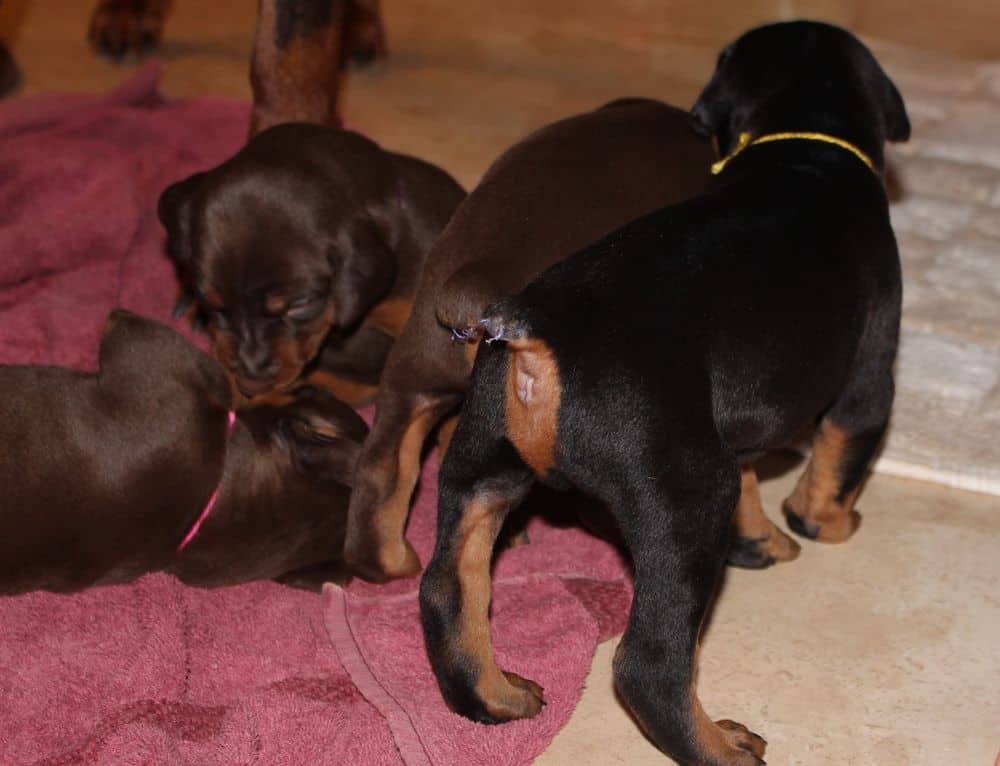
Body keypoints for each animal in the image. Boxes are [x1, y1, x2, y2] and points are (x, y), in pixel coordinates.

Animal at [418, 22, 912, 766]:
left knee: (449, 588)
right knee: (648, 664)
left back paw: (496, 697)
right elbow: (841, 456)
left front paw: (761, 541)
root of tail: (536, 333)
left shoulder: (732, 422)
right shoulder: (870, 372)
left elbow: (752, 480)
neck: (802, 145)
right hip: (686, 498)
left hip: (480, 462)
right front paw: (826, 523)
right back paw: (722, 745)